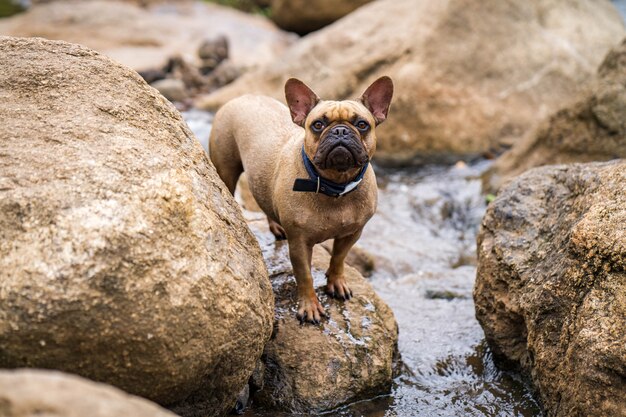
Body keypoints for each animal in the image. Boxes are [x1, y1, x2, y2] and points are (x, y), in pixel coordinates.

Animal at [210, 75, 392, 322]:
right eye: (318, 125)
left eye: (362, 124)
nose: (341, 131)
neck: (335, 186)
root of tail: (242, 97)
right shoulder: (299, 244)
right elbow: (305, 276)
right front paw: (309, 307)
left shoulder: (352, 233)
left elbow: (339, 258)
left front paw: (337, 282)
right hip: (226, 170)